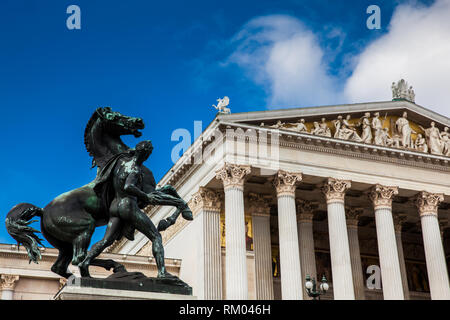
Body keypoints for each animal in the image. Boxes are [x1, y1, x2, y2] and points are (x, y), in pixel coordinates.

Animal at [5, 107, 192, 278]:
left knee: (60, 266)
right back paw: (102, 271)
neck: (121, 156)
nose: (139, 121)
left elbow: (170, 189)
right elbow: (167, 194)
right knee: (79, 257)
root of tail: (43, 211)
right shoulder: (144, 194)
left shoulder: (146, 194)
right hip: (85, 227)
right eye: (114, 116)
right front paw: (174, 217)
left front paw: (175, 216)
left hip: (64, 244)